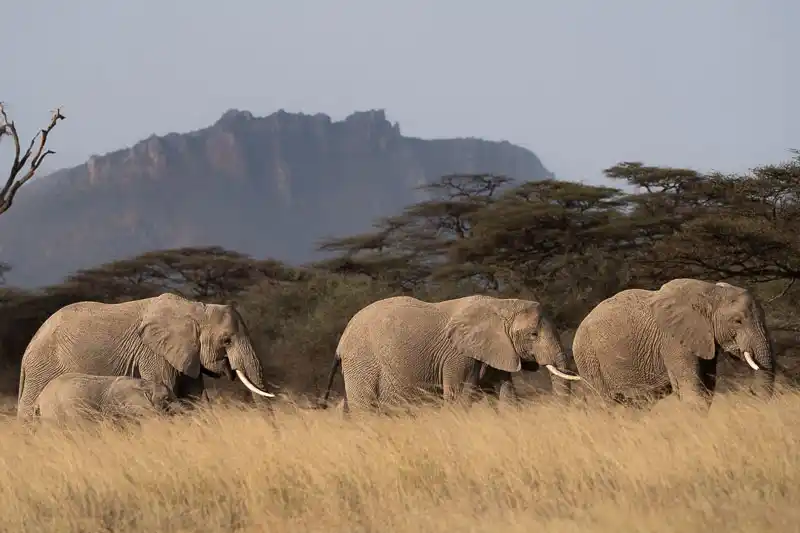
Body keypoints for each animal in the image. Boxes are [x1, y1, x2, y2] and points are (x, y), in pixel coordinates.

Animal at [319, 295, 581, 411]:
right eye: (533, 335)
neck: (501, 304)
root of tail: (341, 343)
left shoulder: (494, 351)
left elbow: (507, 395)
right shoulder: (459, 356)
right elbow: (459, 397)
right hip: (362, 363)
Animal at [571, 278, 775, 409]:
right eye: (737, 321)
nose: (751, 392)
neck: (711, 293)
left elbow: (707, 389)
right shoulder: (673, 340)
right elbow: (691, 391)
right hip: (588, 357)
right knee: (604, 404)